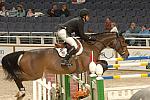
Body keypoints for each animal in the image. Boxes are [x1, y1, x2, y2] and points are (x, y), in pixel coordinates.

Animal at [0, 32, 129, 99]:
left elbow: (104, 62)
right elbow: (102, 64)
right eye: (123, 42)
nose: (127, 55)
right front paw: (101, 71)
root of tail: (24, 53)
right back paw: (21, 92)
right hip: (33, 74)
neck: (92, 46)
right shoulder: (88, 65)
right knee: (17, 78)